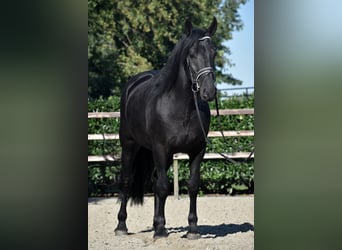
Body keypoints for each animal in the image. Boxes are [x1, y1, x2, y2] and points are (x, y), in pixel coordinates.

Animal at [115, 17, 216, 240]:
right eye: (191, 54)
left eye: (213, 52)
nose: (209, 92)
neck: (182, 107)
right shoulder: (161, 148)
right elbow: (163, 187)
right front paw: (161, 231)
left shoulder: (197, 150)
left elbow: (192, 185)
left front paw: (192, 229)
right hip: (130, 145)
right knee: (126, 181)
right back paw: (122, 226)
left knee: (153, 180)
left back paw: (154, 223)